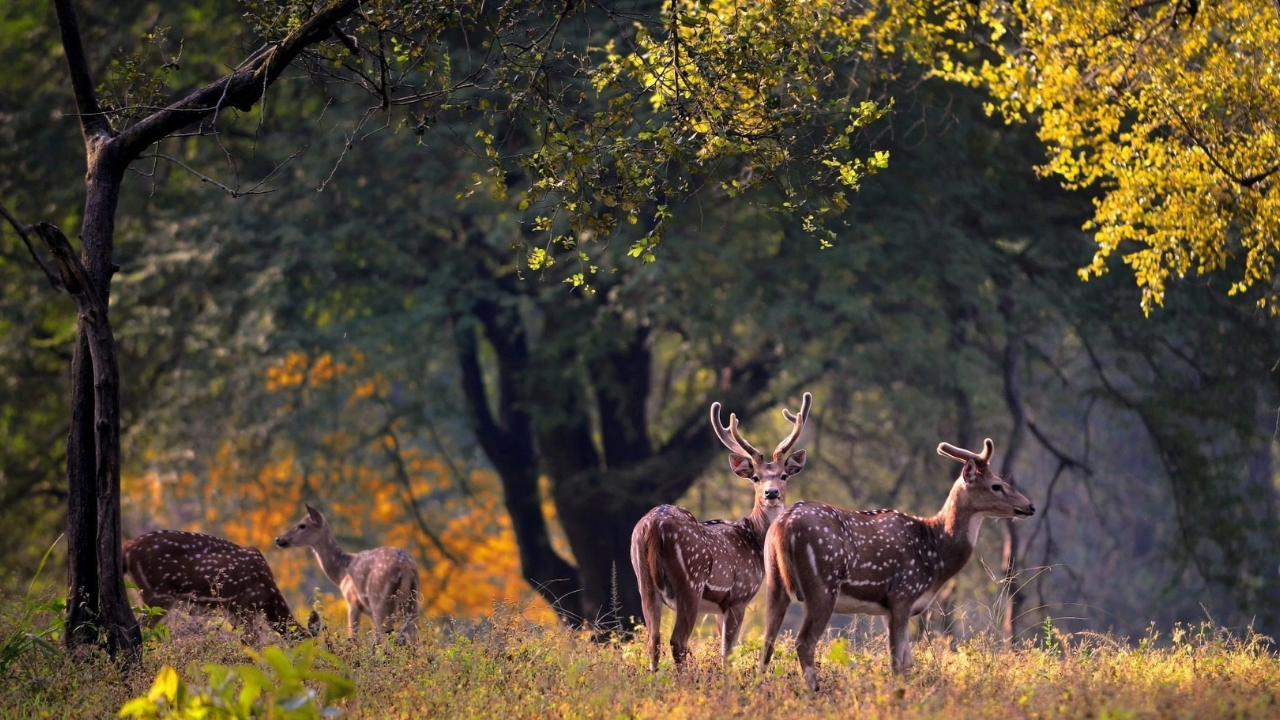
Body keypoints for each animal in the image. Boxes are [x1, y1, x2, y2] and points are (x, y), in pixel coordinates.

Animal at [275, 502, 419, 640]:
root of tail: (404, 565)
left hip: (379, 600)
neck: (342, 572)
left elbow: (353, 637)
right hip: (412, 600)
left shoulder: (352, 601)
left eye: (302, 525)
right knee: (413, 633)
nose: (279, 539)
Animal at [627, 392, 808, 666]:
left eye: (784, 476)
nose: (771, 493)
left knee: (653, 640)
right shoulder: (739, 596)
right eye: (756, 478)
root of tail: (652, 527)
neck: (754, 539)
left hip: (644, 581)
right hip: (690, 582)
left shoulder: (718, 609)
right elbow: (728, 653)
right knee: (677, 641)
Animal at [752, 435, 1034, 686]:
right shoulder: (903, 594)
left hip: (775, 581)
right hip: (823, 584)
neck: (936, 552)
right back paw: (814, 690)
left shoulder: (892, 607)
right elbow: (898, 662)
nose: (1029, 506)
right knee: (804, 642)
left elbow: (907, 660)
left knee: (767, 640)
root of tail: (784, 525)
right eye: (996, 485)